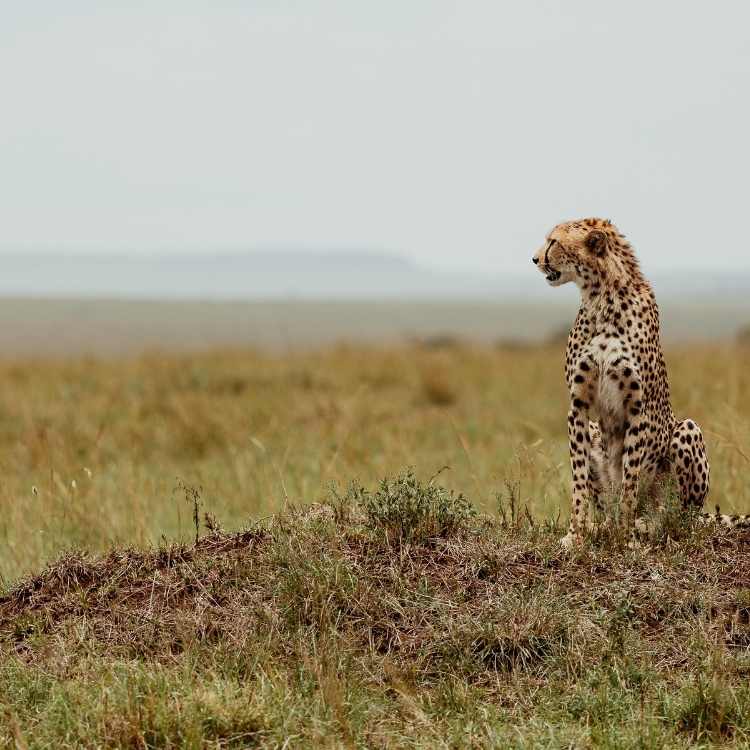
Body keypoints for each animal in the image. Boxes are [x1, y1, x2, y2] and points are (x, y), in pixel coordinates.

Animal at [532, 217, 748, 548]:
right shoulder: (578, 405)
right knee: (608, 506)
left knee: (678, 518)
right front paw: (576, 534)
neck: (601, 296)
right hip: (596, 434)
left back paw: (650, 525)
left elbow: (630, 480)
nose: (534, 259)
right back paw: (605, 526)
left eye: (553, 241)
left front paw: (626, 537)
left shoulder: (638, 408)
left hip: (687, 431)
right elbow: (579, 479)